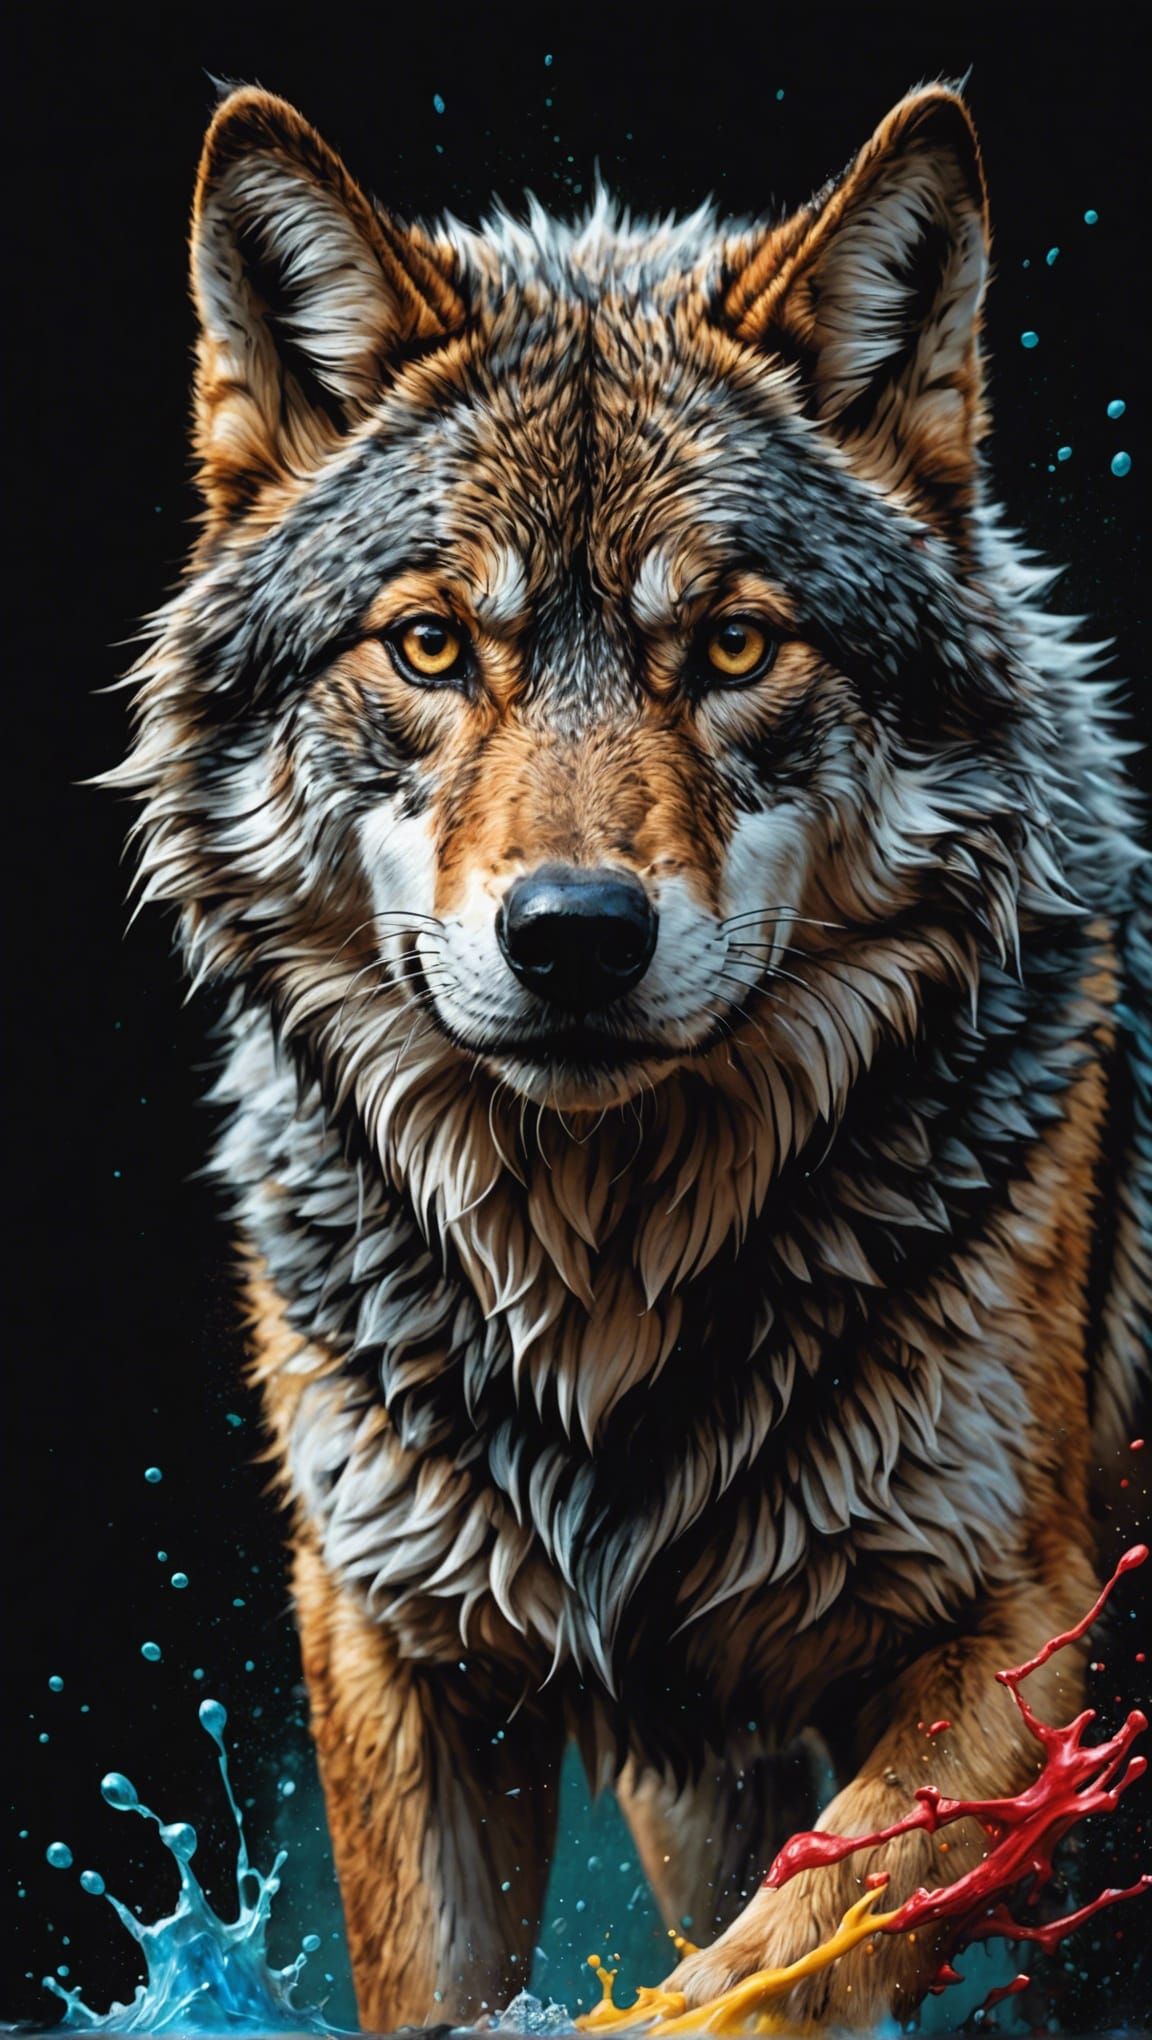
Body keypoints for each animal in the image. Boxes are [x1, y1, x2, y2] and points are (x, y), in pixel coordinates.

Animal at [108, 78, 1149, 2028]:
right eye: (432, 643)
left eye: (732, 643)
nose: (575, 936)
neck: (602, 1284)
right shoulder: (397, 1646)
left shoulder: (1029, 1633)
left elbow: (783, 1963)